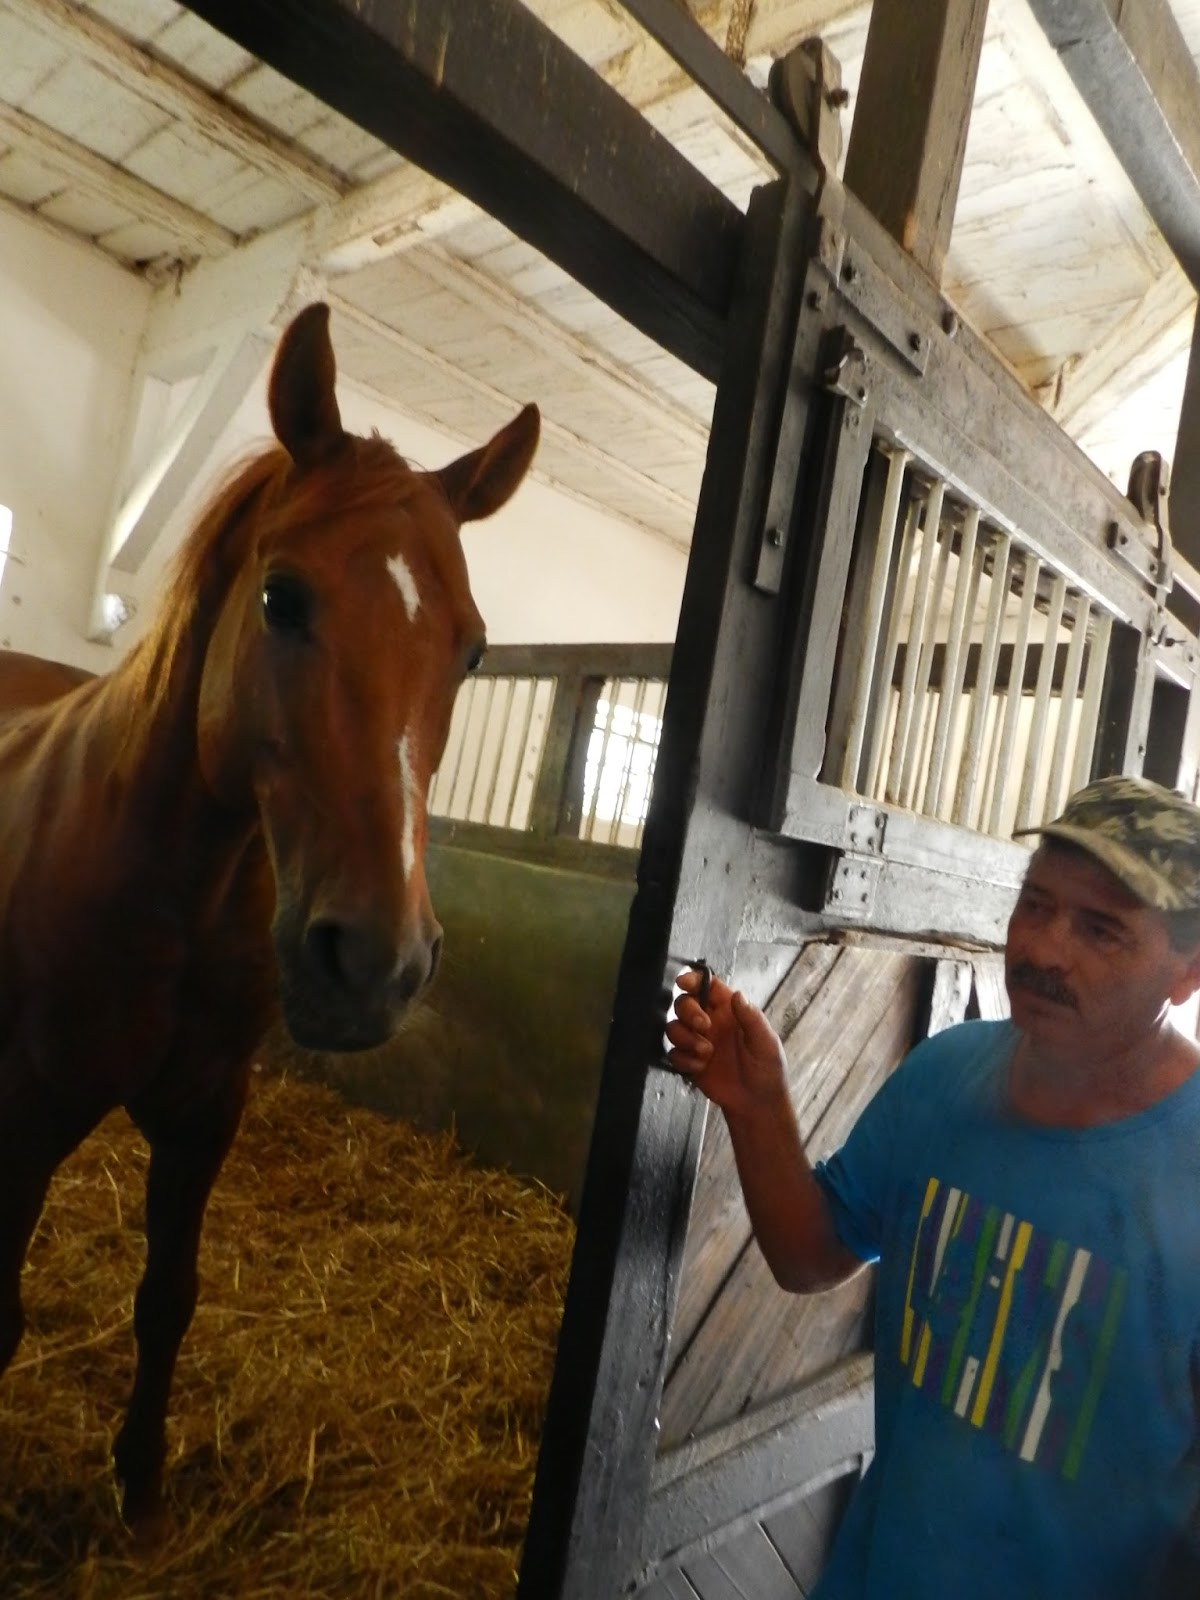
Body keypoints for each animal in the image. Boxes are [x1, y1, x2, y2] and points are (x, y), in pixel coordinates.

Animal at [0, 302, 540, 1529]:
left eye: (474, 648)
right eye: (280, 597)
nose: (378, 962)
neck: (175, 894)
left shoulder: (205, 1114)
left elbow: (169, 1295)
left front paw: (140, 1482)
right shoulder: (19, 1121)